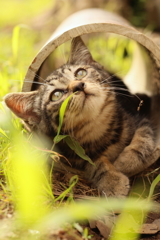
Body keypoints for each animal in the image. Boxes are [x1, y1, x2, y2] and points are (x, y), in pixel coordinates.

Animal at [4, 35, 157, 197]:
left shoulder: (140, 118)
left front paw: (126, 161)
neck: (96, 127)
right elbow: (95, 163)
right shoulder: (75, 156)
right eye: (56, 95)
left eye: (80, 73)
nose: (78, 85)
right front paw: (111, 181)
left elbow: (144, 135)